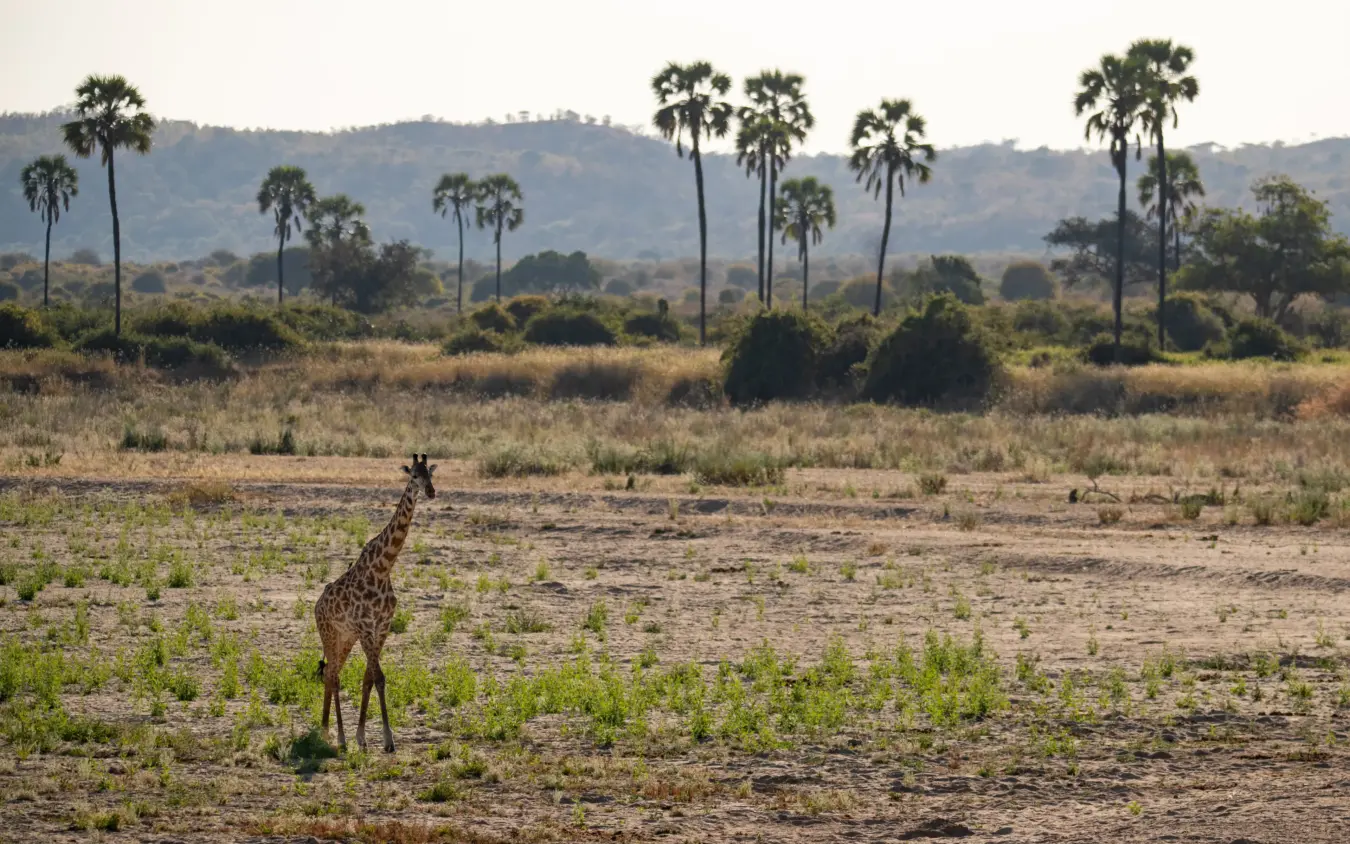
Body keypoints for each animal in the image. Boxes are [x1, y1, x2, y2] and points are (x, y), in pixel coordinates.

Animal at [315, 453, 436, 752]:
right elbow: (378, 677)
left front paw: (363, 737)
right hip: (329, 634)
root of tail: (316, 606)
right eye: (413, 475)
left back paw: (327, 732)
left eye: (430, 474)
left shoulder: (382, 627)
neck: (383, 568)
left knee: (331, 673)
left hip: (345, 639)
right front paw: (388, 740)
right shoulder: (365, 627)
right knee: (333, 676)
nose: (431, 491)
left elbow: (370, 677)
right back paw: (338, 738)